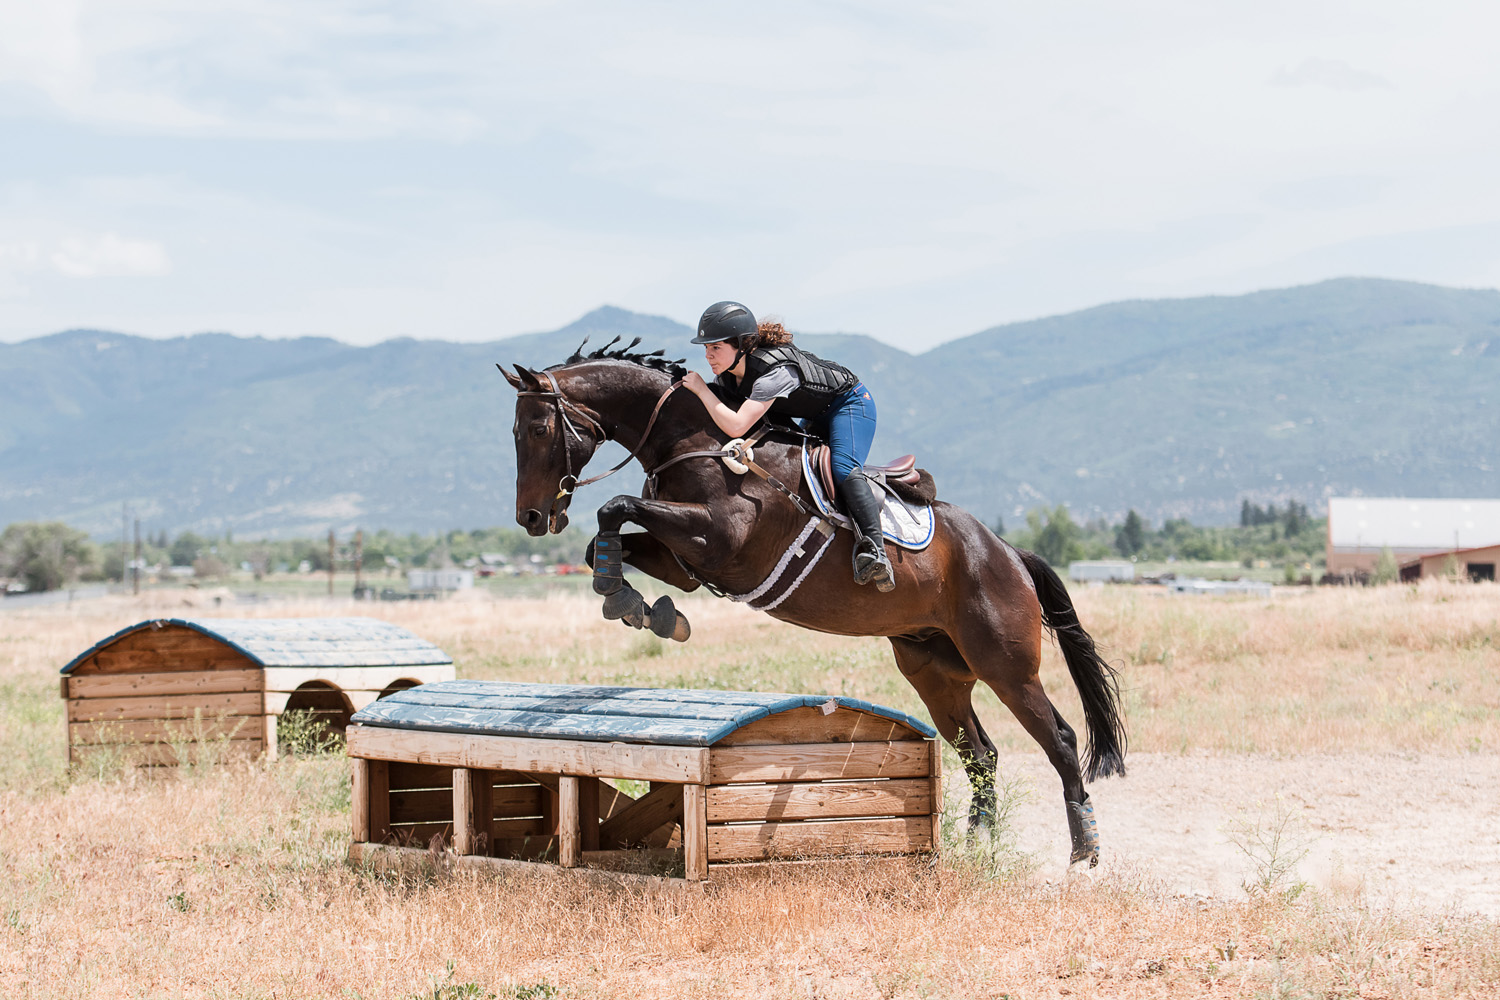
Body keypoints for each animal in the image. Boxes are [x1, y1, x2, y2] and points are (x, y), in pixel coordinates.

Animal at [500, 339, 1127, 866]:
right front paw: (641, 607)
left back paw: (1085, 850)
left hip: (1005, 665)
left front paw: (633, 603)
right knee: (982, 753)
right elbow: (604, 537)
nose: (530, 517)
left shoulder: (718, 539)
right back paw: (979, 843)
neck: (694, 441)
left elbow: (615, 506)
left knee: (1060, 740)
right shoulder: (686, 562)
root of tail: (1009, 552)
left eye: (538, 428)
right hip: (935, 670)